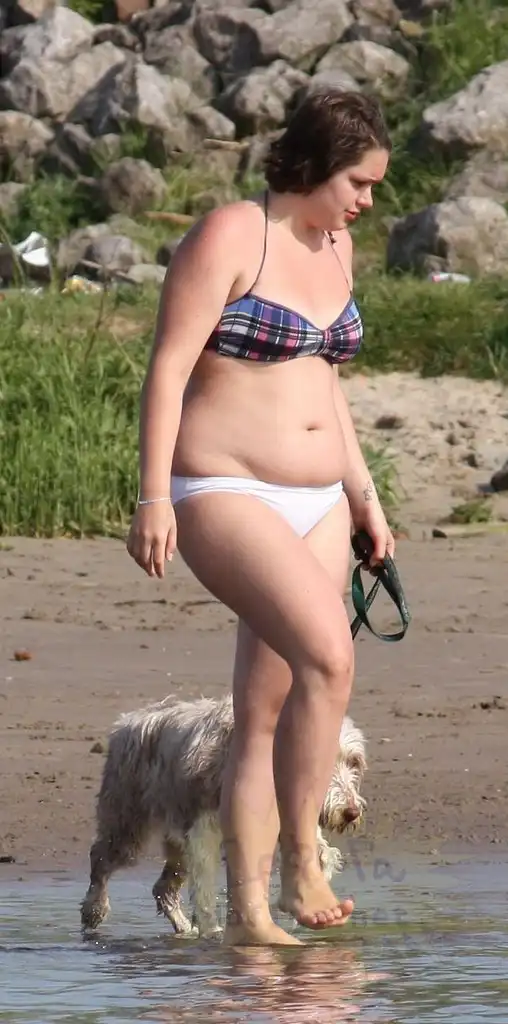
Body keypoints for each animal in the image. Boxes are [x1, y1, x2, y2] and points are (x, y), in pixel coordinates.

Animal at [80, 694, 367, 937]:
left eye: (354, 762)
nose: (350, 813)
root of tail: (128, 721)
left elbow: (322, 856)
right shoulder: (204, 827)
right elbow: (206, 887)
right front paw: (214, 933)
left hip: (175, 840)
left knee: (164, 888)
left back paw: (184, 930)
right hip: (127, 820)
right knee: (100, 860)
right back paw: (94, 909)